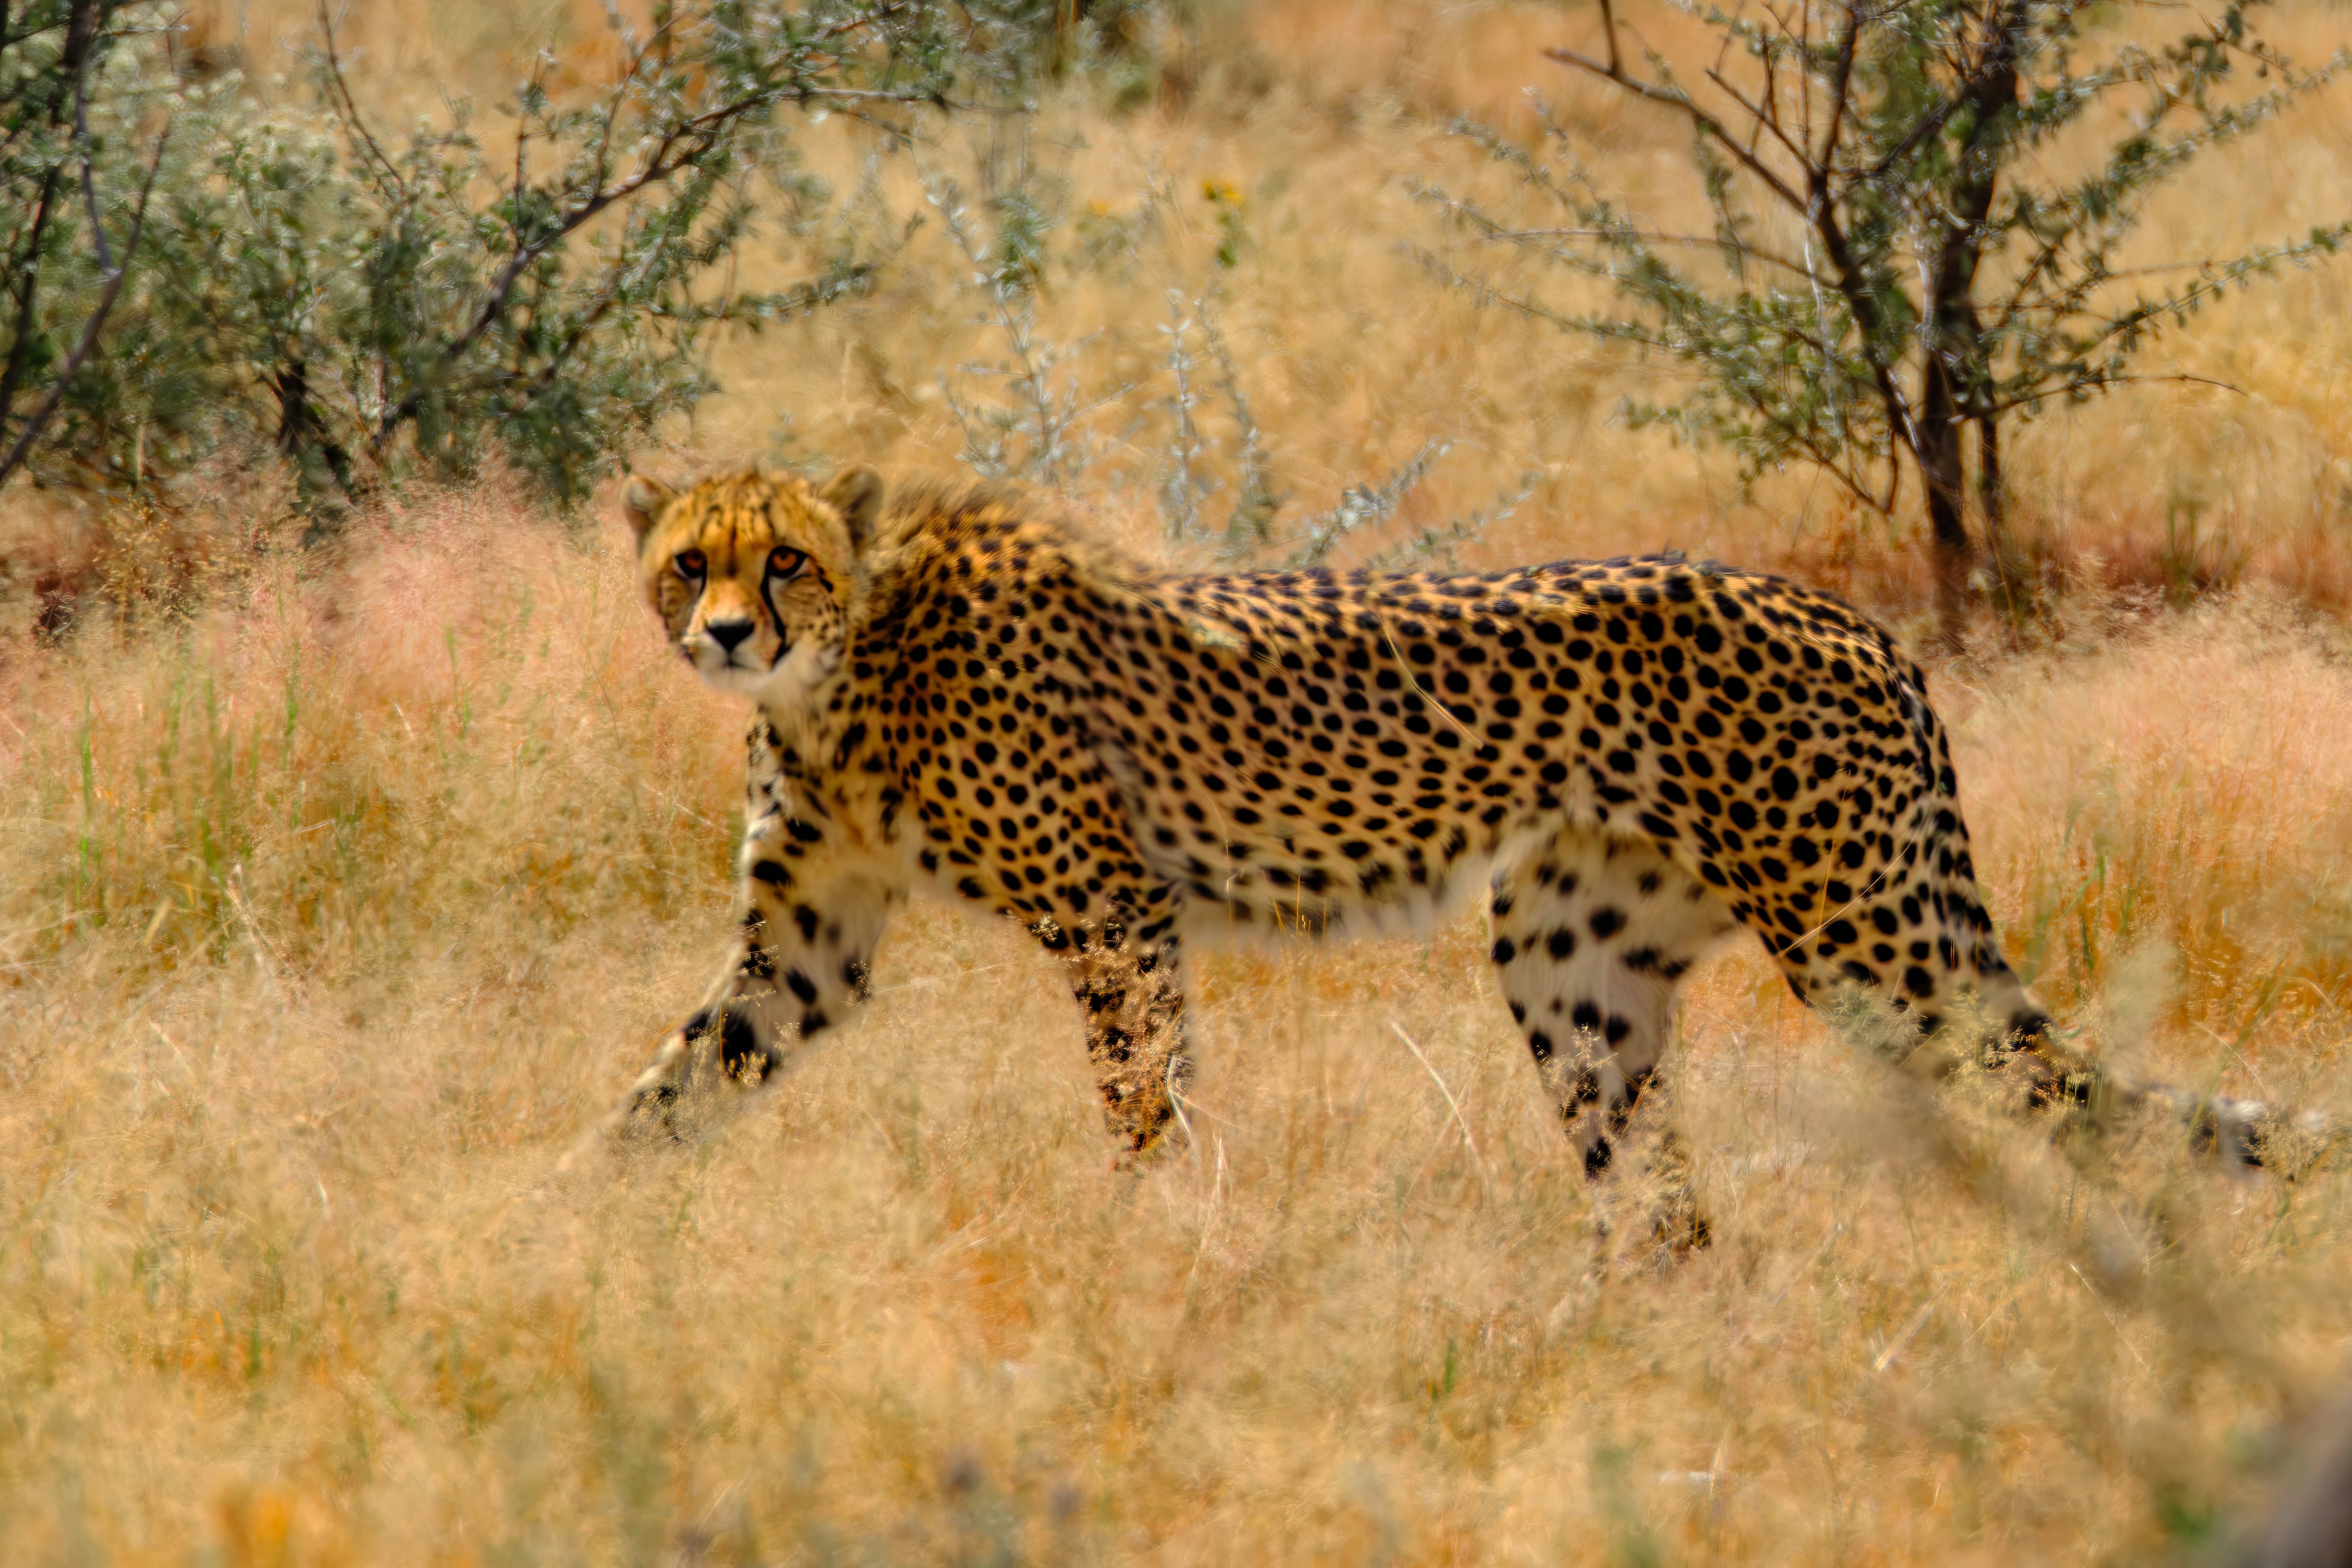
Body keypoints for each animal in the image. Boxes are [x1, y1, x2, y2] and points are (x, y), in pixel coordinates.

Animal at [590, 463, 2319, 1202]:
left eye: (785, 560)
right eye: (689, 560)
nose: (726, 633)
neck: (844, 669)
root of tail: (1849, 615)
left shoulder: (1112, 912)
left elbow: (1142, 1100)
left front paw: (1147, 1241)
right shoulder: (807, 939)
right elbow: (668, 1081)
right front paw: (564, 1226)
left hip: (1869, 944)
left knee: (2053, 1088)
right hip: (1568, 953)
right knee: (1656, 1194)